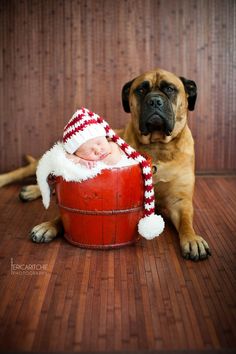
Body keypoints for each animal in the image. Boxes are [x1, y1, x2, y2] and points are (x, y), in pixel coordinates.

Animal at [0, 68, 210, 260]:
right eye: (141, 90)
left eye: (170, 89)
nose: (154, 101)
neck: (157, 145)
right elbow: (62, 215)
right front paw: (49, 225)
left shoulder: (180, 201)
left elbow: (186, 222)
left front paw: (193, 239)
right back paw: (22, 186)